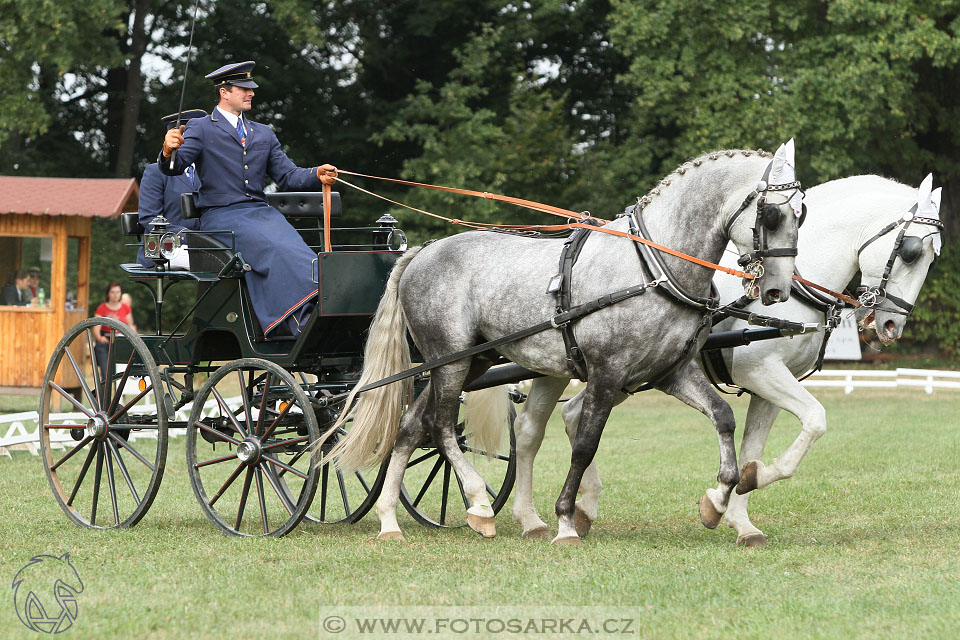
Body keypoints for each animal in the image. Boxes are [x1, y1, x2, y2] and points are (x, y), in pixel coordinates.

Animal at [322, 144, 804, 540]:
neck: (655, 268)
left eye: (801, 215)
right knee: (440, 427)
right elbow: (586, 443)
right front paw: (566, 521)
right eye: (773, 215)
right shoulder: (608, 373)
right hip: (449, 360)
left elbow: (723, 417)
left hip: (468, 362)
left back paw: (388, 520)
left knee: (410, 426)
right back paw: (478, 504)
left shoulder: (671, 373)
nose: (778, 289)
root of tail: (424, 249)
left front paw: (717, 501)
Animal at [512, 172, 940, 544]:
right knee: (530, 431)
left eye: (932, 258)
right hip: (569, 367)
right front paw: (743, 488)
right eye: (910, 252)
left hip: (609, 374)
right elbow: (816, 419)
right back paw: (530, 518)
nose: (891, 325)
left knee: (564, 418)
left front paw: (741, 512)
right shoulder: (761, 372)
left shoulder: (769, 386)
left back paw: (580, 510)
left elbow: (755, 449)